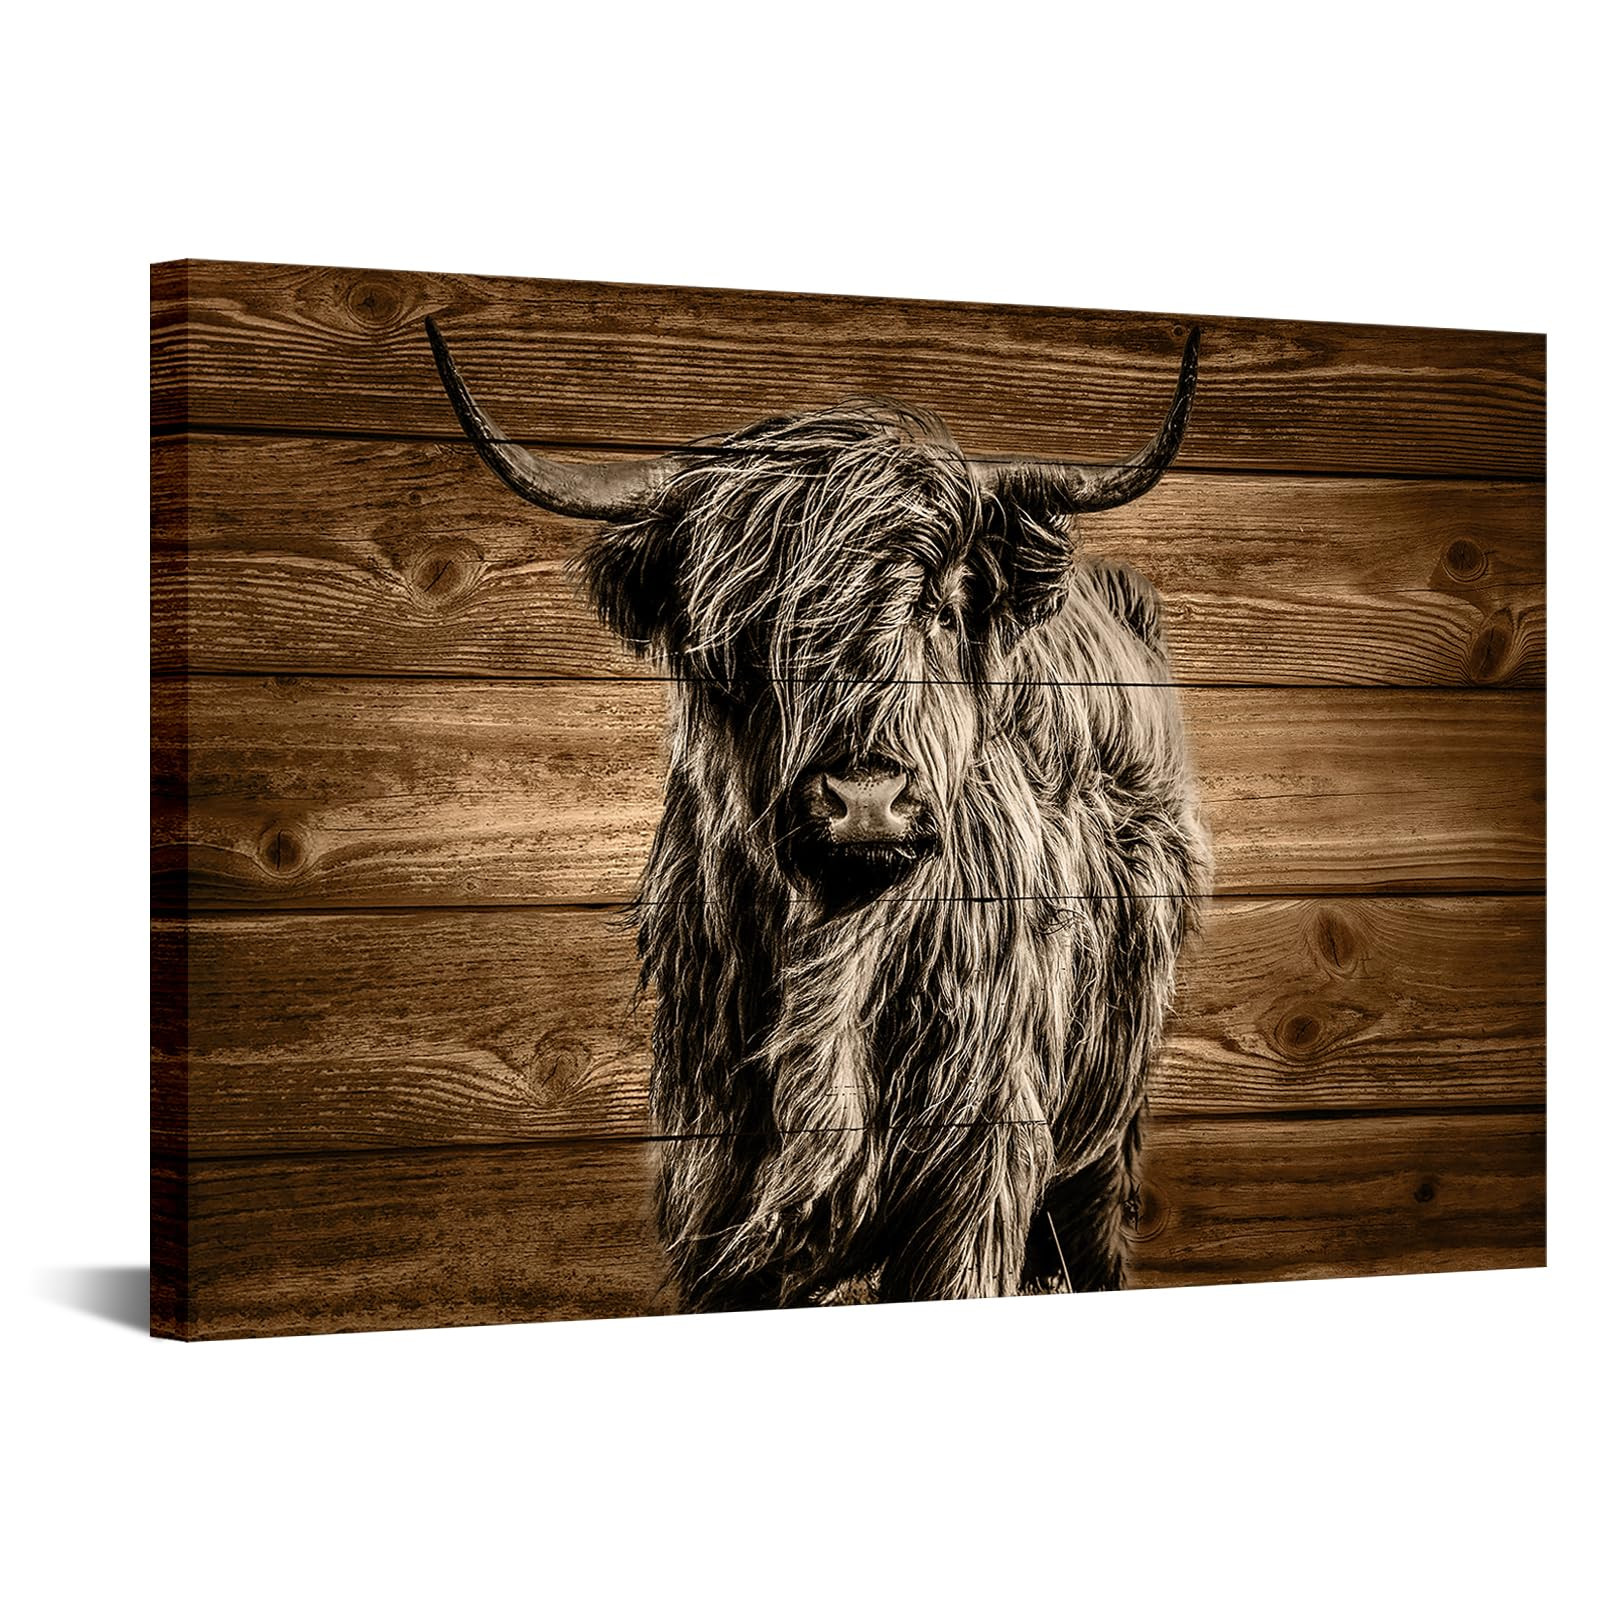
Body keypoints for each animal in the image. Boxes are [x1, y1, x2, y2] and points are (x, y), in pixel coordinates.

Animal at [426, 314, 1210, 1310]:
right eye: (740, 631)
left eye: (939, 606)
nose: (866, 800)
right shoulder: (714, 1189)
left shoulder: (978, 1174)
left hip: (1108, 1124)